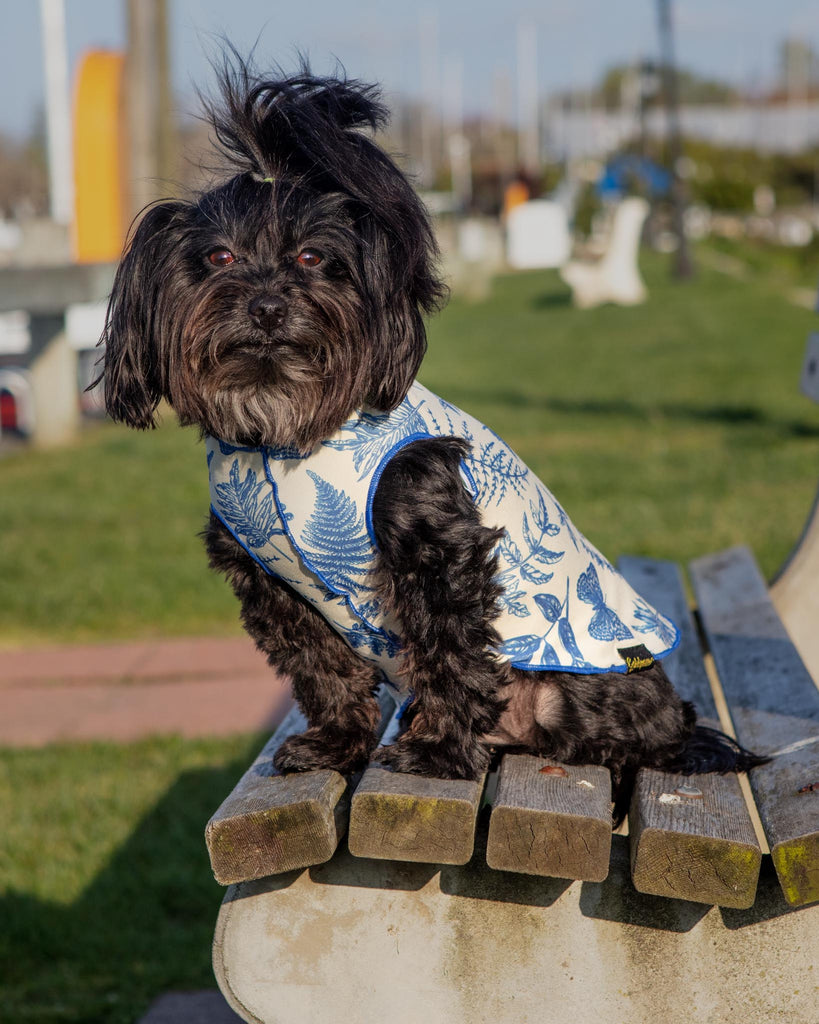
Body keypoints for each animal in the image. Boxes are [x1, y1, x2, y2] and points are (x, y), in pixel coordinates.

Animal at [99, 58, 765, 815]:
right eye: (218, 256)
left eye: (311, 257)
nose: (266, 305)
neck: (284, 436)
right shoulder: (273, 586)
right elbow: (323, 670)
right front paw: (335, 744)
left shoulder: (437, 554)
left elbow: (450, 654)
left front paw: (443, 752)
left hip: (575, 696)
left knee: (628, 744)